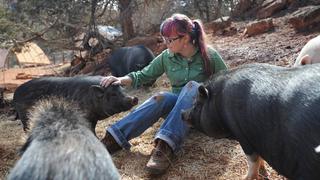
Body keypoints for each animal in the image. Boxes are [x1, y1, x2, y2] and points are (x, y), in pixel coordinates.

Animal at [181, 63, 320, 180]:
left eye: (197, 104)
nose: (182, 113)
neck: (218, 102)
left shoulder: (242, 134)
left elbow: (252, 159)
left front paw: (245, 178)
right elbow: (259, 158)